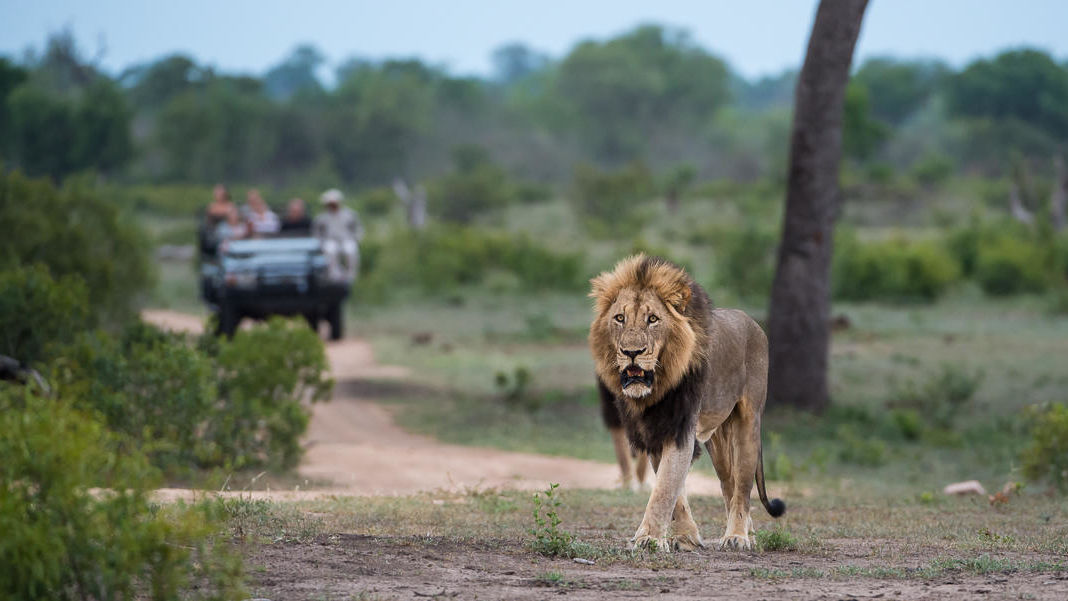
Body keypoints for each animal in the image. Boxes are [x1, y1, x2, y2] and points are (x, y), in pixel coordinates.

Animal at [589, 254, 790, 550]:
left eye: (652, 319)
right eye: (619, 318)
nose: (631, 352)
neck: (659, 387)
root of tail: (753, 323)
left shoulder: (681, 427)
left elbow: (665, 488)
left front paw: (649, 538)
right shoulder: (656, 430)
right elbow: (674, 492)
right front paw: (685, 537)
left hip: (748, 424)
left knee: (742, 487)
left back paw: (737, 536)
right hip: (718, 440)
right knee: (728, 484)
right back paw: (748, 533)